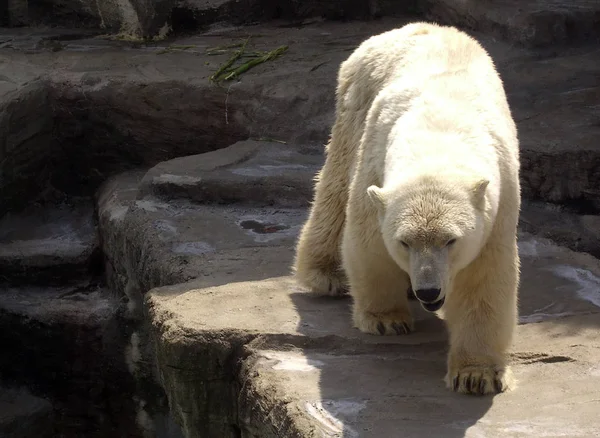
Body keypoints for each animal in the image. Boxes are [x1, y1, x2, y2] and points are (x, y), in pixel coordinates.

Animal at [292, 22, 516, 396]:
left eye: (451, 241)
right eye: (404, 242)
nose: (429, 291)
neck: (441, 133)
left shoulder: (499, 199)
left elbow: (484, 277)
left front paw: (476, 375)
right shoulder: (376, 163)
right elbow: (369, 243)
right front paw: (386, 320)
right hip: (356, 102)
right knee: (334, 185)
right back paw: (326, 273)